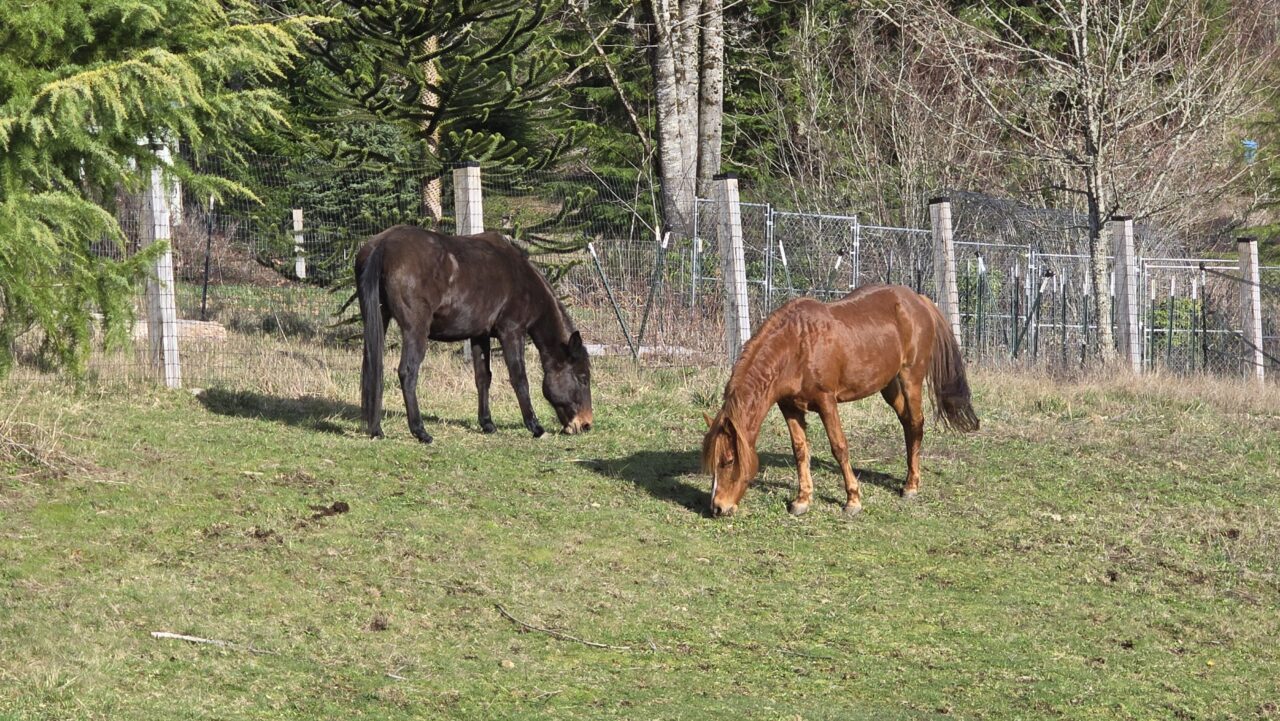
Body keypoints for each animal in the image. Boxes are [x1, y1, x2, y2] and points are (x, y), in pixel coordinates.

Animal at [354, 225, 593, 443]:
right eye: (582, 378)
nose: (586, 424)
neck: (523, 278)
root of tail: (384, 244)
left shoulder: (480, 335)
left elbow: (483, 377)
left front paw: (487, 423)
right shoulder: (512, 332)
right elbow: (519, 378)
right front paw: (535, 426)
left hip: (378, 321)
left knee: (373, 369)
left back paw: (376, 429)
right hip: (416, 332)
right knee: (407, 373)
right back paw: (420, 431)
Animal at [700, 284, 978, 518]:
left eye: (728, 460)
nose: (717, 507)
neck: (796, 347)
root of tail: (918, 300)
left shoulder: (826, 402)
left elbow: (839, 447)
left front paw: (853, 500)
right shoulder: (789, 406)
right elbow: (800, 450)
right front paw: (802, 500)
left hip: (911, 379)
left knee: (917, 423)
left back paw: (911, 486)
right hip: (888, 386)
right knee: (907, 424)